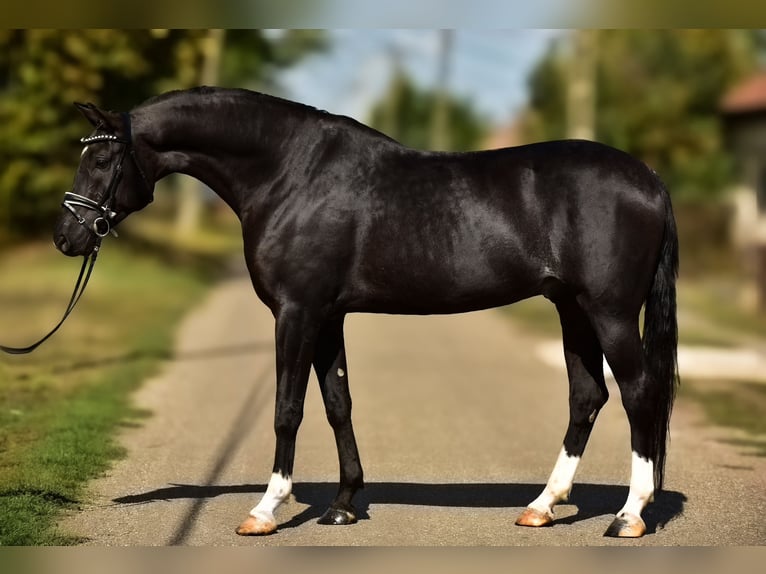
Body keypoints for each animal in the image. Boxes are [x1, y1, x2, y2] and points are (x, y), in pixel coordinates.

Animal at [53, 86, 679, 539]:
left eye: (103, 157)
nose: (66, 237)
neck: (289, 172)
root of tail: (648, 177)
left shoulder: (297, 312)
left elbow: (287, 409)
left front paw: (266, 509)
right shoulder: (328, 315)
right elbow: (338, 404)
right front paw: (345, 505)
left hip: (609, 312)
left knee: (639, 392)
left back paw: (629, 515)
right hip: (572, 308)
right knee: (587, 396)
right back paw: (542, 506)